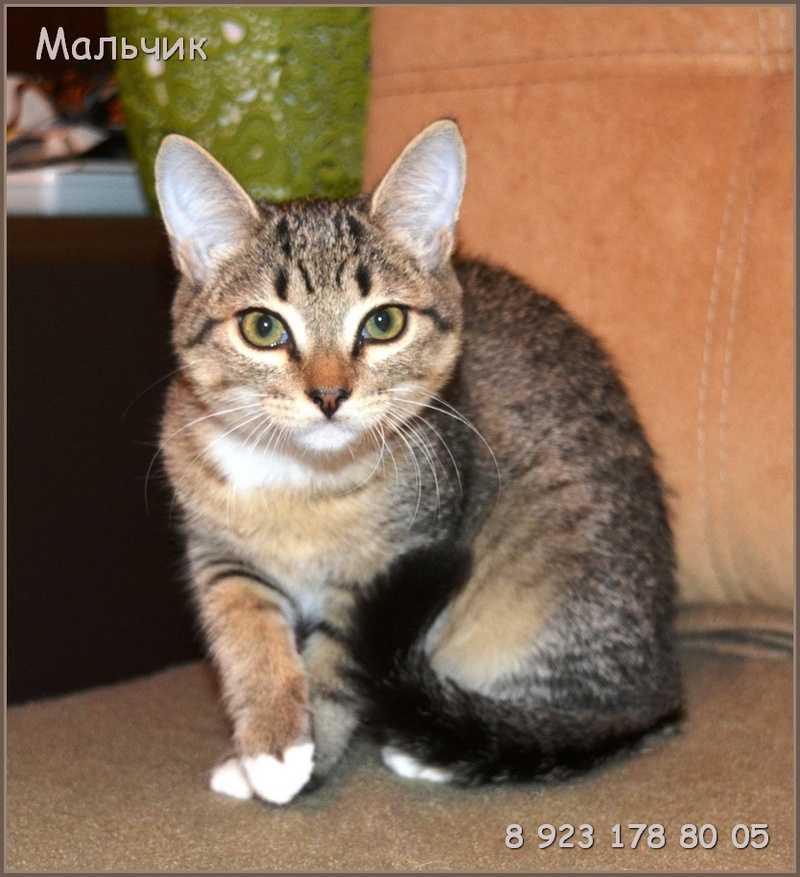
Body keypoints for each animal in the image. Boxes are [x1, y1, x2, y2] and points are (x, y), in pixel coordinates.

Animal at [154, 119, 682, 805]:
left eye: (384, 321)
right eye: (263, 328)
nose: (329, 394)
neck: (301, 482)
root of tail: (663, 679)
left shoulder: (404, 553)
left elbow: (338, 664)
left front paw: (306, 757)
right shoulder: (219, 552)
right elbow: (245, 632)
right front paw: (268, 742)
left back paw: (440, 748)